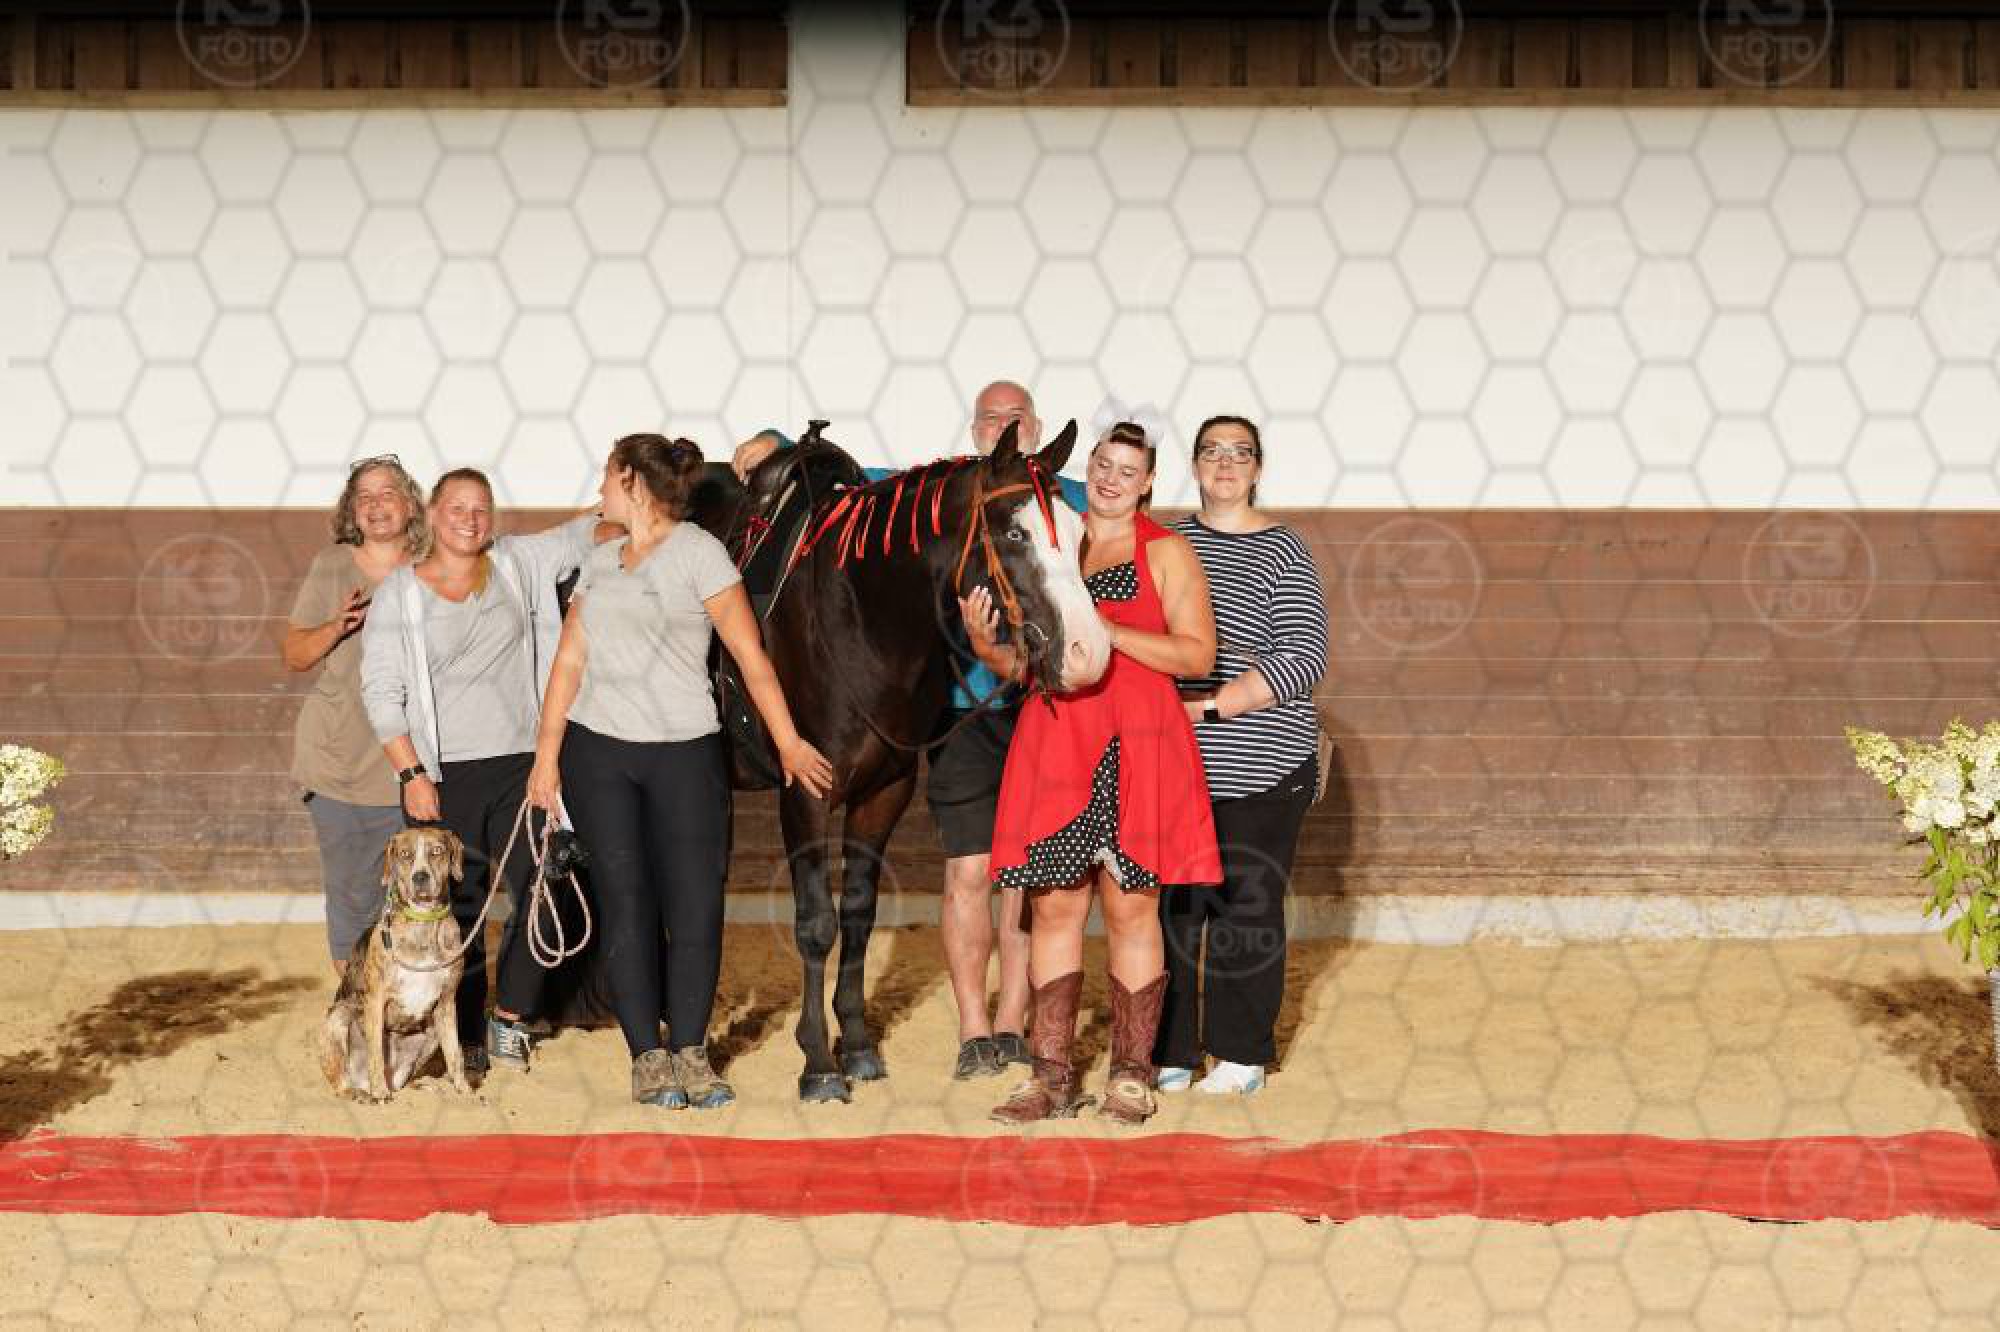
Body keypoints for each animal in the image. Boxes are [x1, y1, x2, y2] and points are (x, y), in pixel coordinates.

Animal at [316, 826, 474, 1102]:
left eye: (437, 851)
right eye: (405, 854)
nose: (420, 877)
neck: (423, 923)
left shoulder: (446, 1003)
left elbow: (455, 1054)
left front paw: (463, 1091)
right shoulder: (376, 1000)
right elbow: (376, 1055)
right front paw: (381, 1094)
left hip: (431, 1032)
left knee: (403, 1081)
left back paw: (420, 1087)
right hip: (338, 1017)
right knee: (342, 1082)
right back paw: (362, 1092)